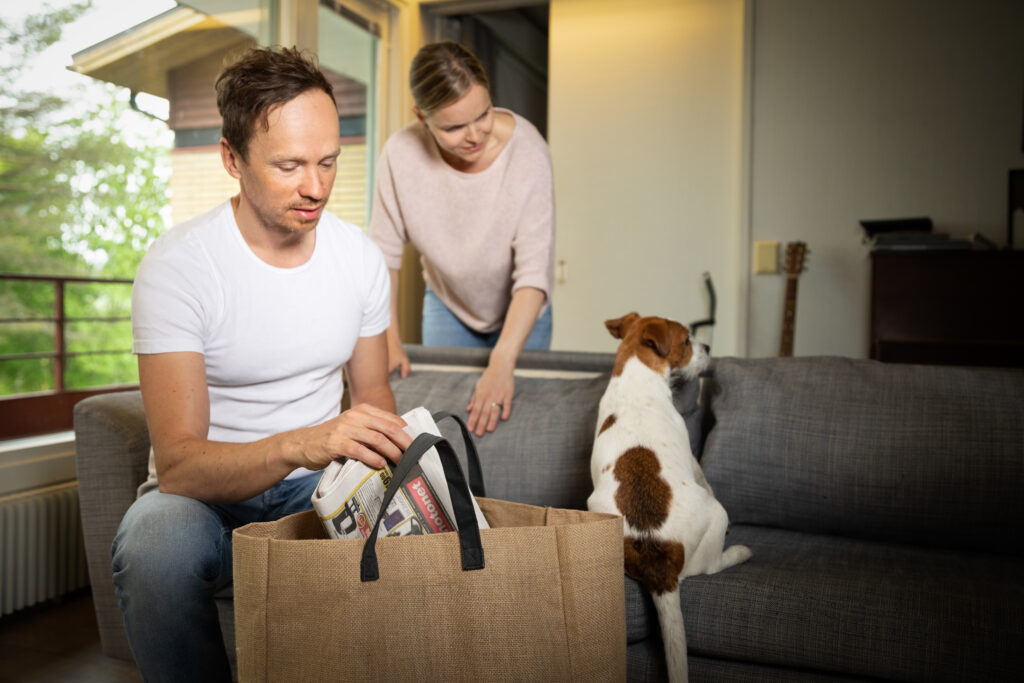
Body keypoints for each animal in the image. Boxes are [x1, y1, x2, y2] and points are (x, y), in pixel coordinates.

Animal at [585, 313, 753, 683]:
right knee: (709, 566)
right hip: (716, 516)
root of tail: (657, 551)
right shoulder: (691, 456)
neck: (634, 376)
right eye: (687, 341)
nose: (708, 347)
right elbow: (704, 475)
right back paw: (738, 552)